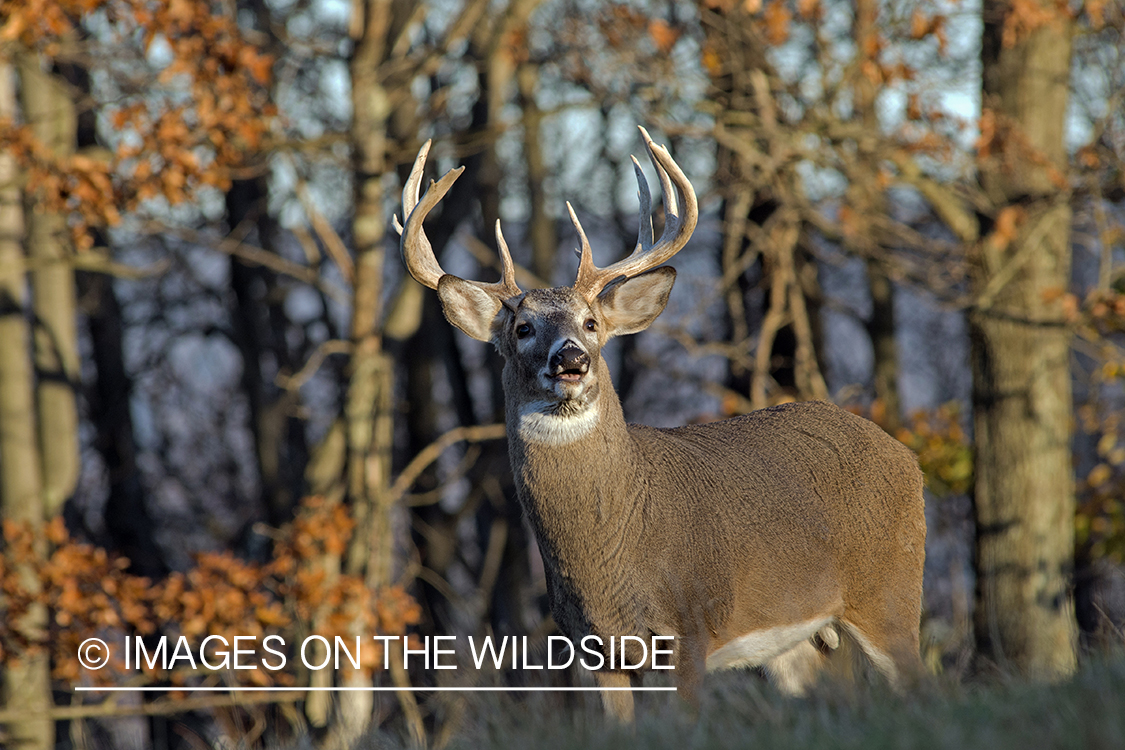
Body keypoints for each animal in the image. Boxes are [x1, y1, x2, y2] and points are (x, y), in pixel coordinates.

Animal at [393, 127, 922, 719]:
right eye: (523, 328)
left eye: (591, 322)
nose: (571, 359)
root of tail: (906, 456)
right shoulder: (595, 649)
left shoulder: (689, 626)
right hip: (804, 639)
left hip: (890, 589)